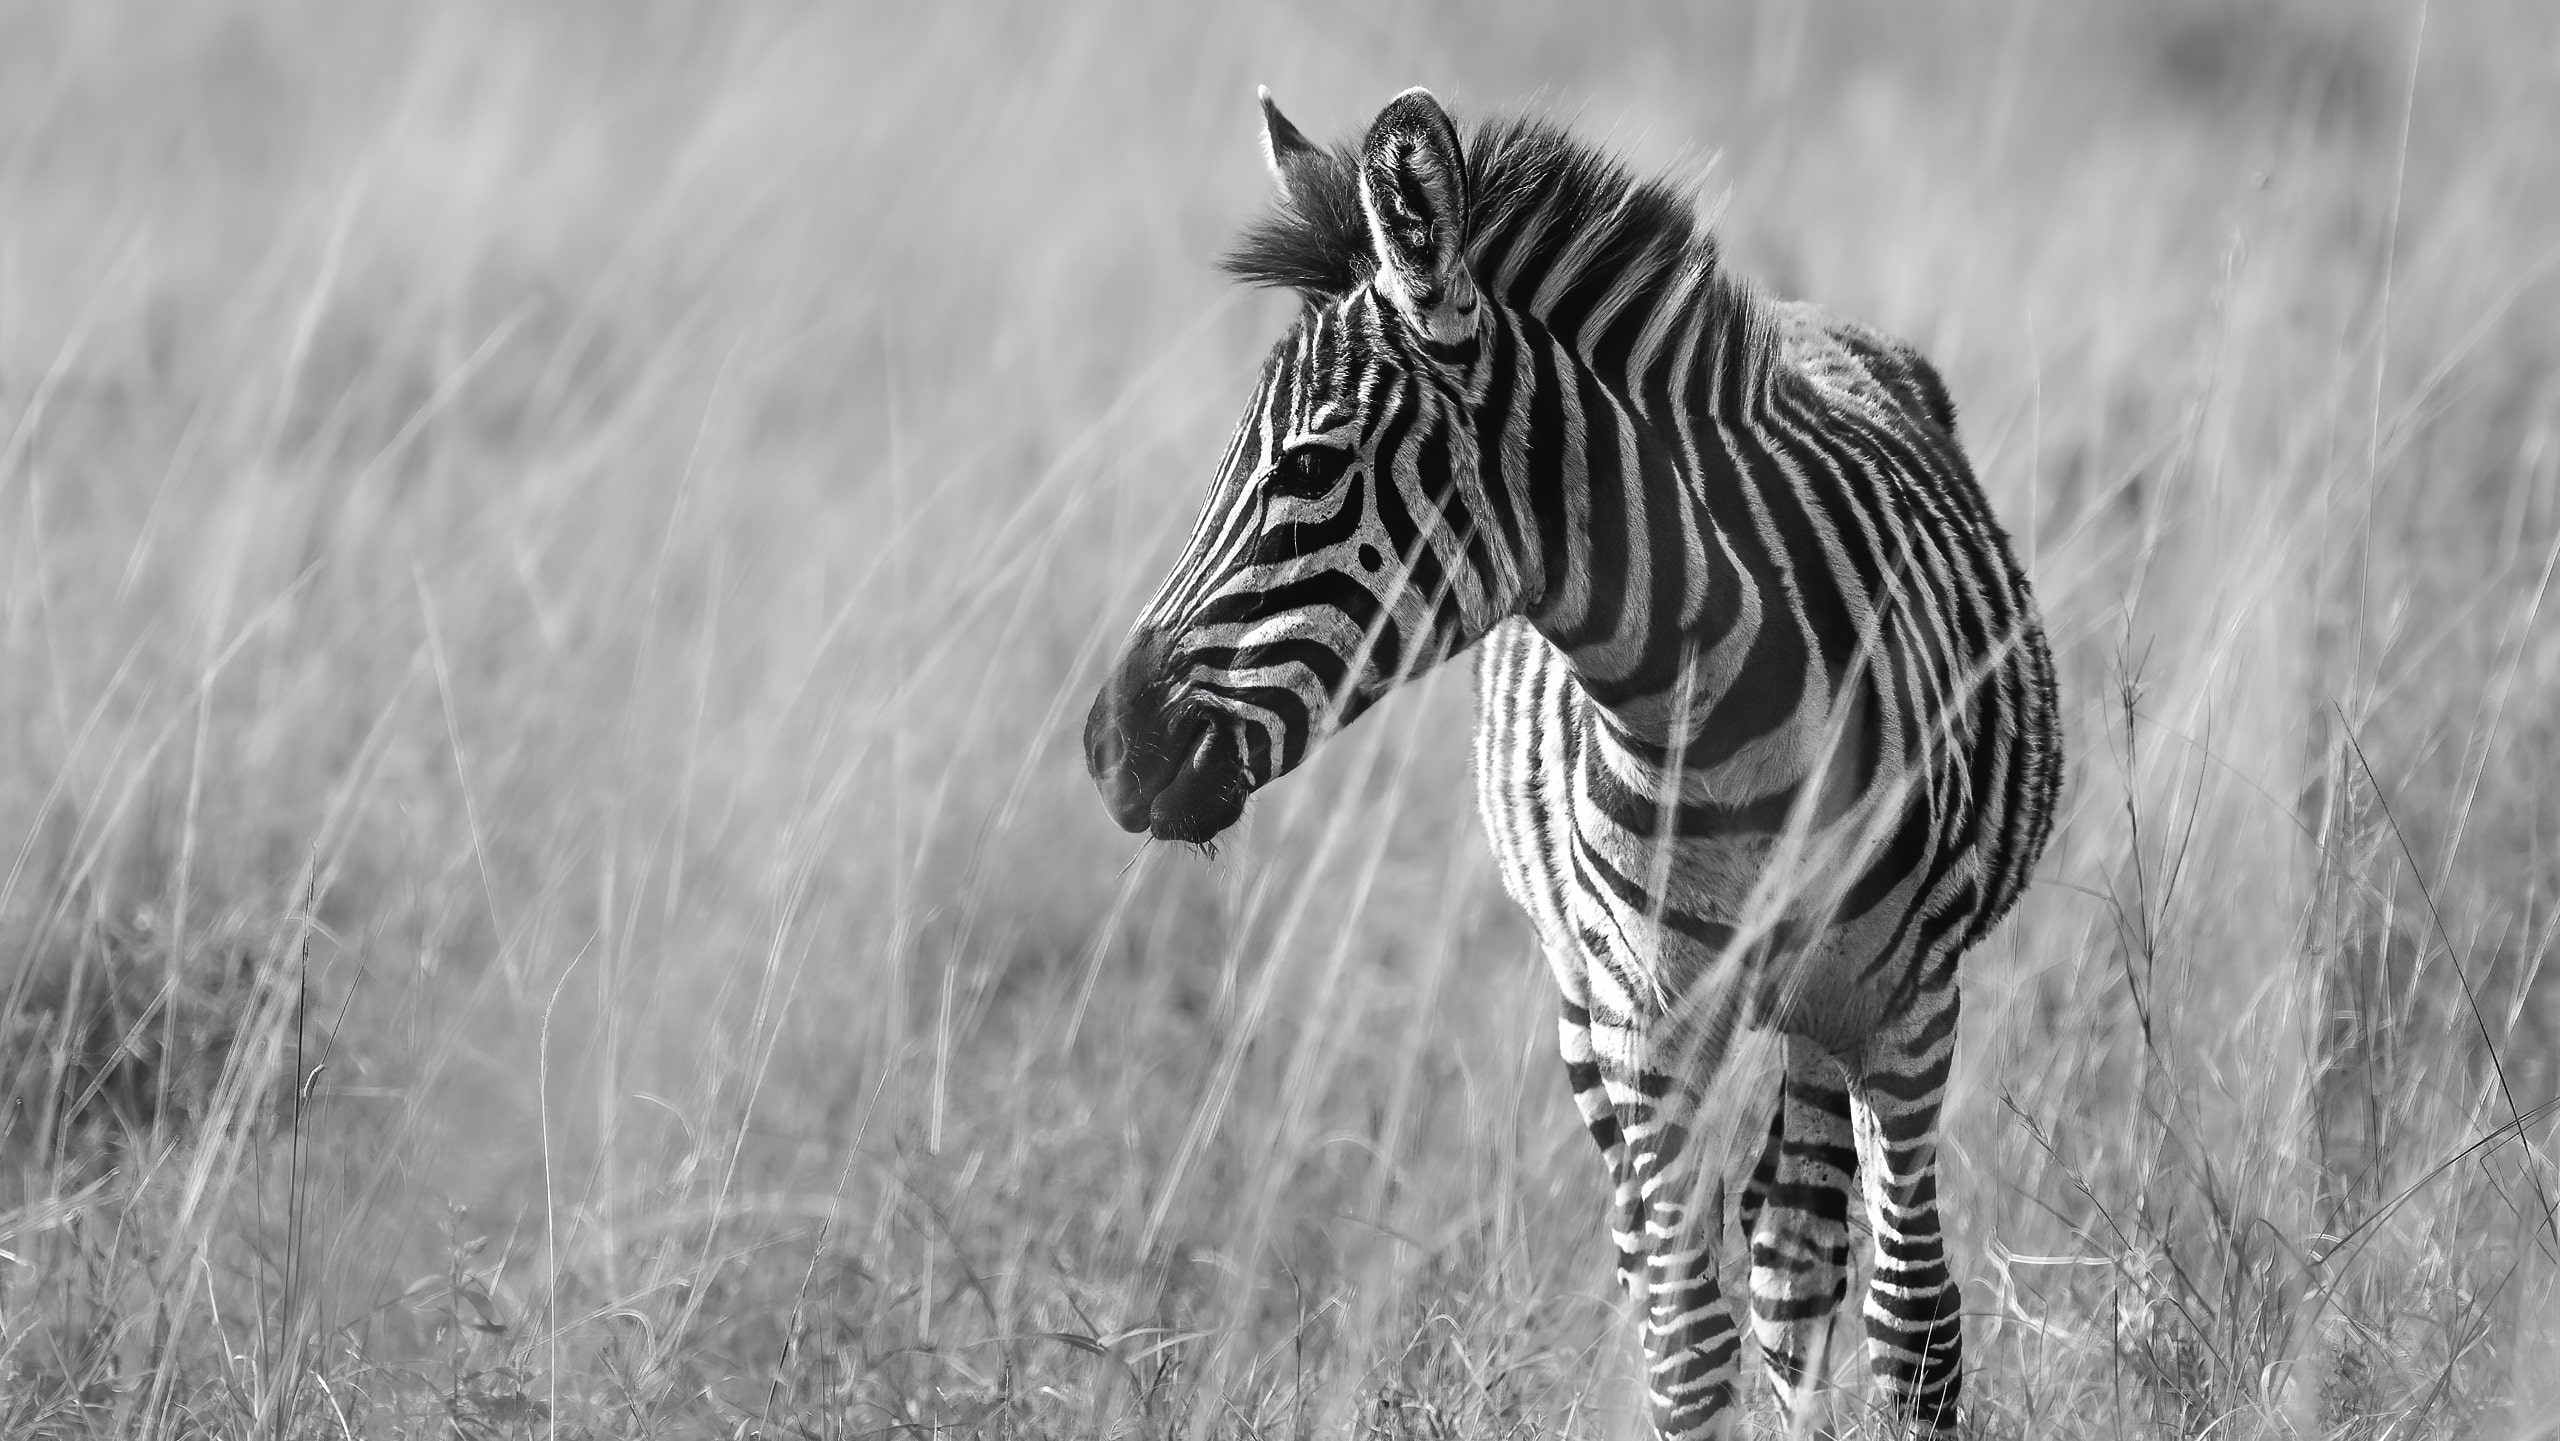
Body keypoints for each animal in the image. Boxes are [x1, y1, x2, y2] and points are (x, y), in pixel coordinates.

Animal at [1080, 90, 2058, 1441]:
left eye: (1308, 467)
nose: (1109, 749)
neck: (1713, 711)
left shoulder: (1907, 1011)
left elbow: (1914, 1325)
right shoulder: (1643, 1011)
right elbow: (1684, 1347)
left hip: (1821, 1010)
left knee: (1796, 1251)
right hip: (1585, 1001)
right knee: (1684, 1252)